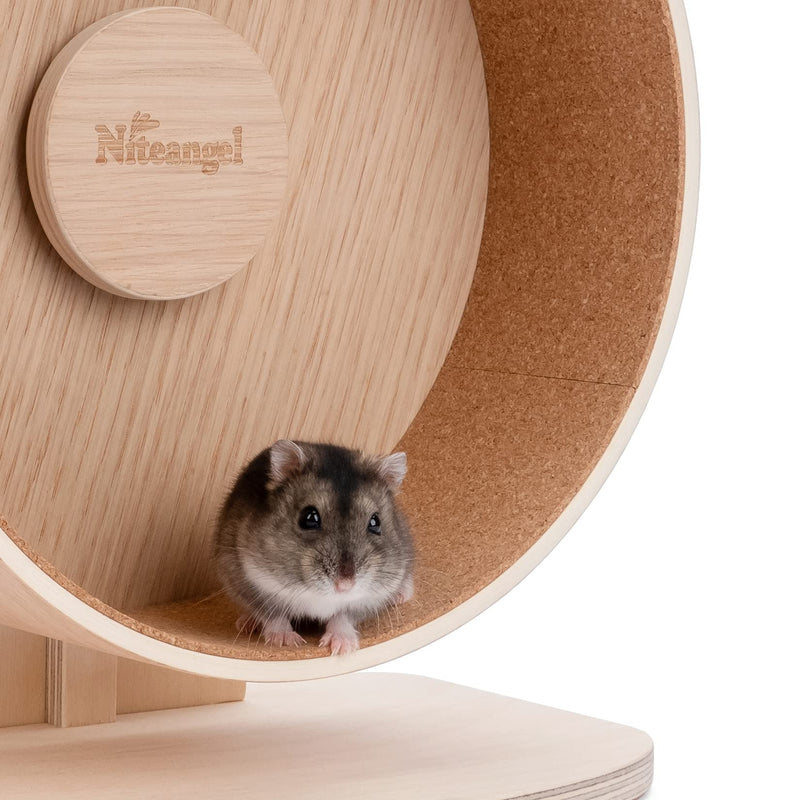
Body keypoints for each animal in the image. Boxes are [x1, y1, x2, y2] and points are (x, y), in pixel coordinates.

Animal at [214, 440, 415, 655]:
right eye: (309, 517)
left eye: (375, 522)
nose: (345, 586)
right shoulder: (246, 583)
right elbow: (273, 615)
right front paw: (286, 641)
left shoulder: (368, 600)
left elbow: (342, 617)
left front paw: (343, 648)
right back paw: (247, 624)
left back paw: (400, 596)